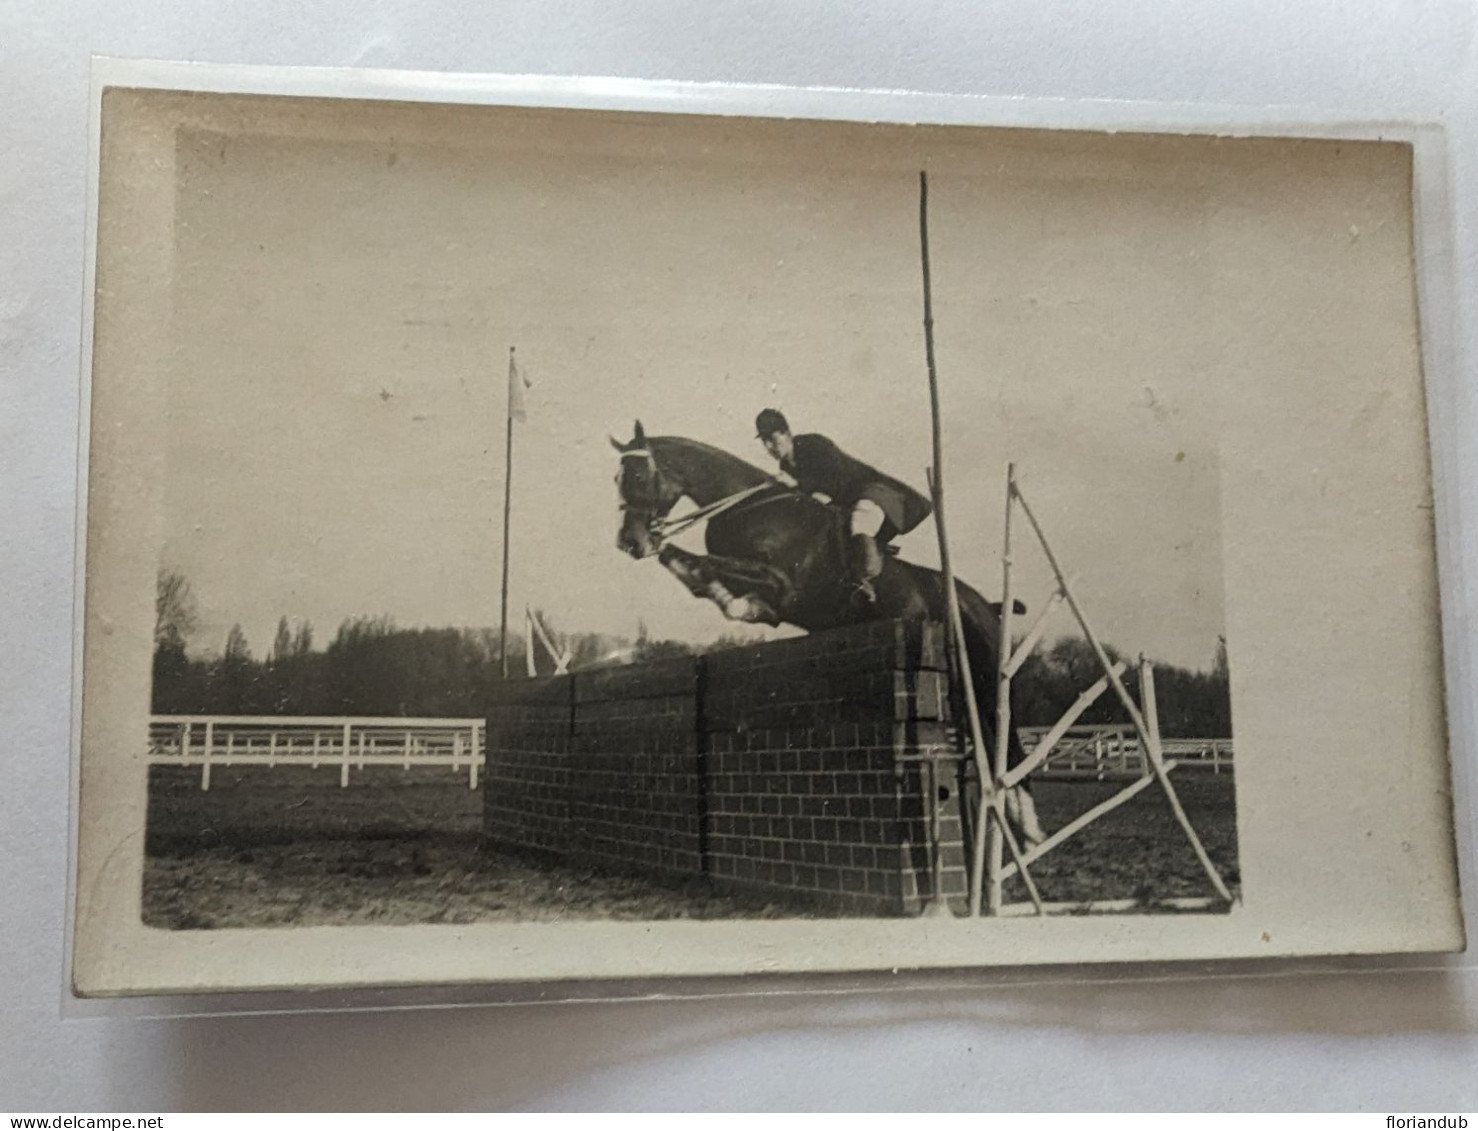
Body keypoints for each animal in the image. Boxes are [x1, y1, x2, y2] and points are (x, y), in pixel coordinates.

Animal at [605, 419, 1046, 845]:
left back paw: (1030, 832)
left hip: (986, 679)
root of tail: (985, 603)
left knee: (1009, 746)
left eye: (639, 475)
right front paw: (727, 597)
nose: (630, 542)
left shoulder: (782, 583)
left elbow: (707, 567)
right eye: (616, 479)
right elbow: (693, 570)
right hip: (958, 686)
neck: (746, 506)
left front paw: (734, 599)